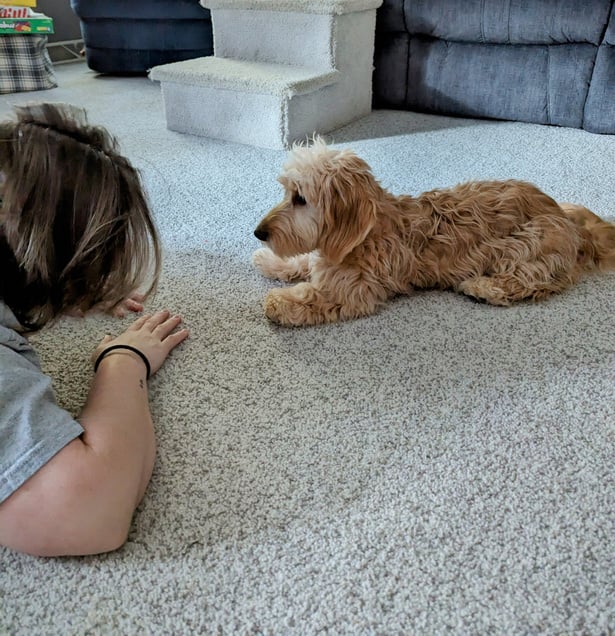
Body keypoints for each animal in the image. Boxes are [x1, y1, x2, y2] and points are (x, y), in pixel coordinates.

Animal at [251, 140, 615, 328]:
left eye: (300, 198)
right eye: (286, 192)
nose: (259, 233)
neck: (365, 235)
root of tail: (569, 222)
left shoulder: (355, 290)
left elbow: (315, 296)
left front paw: (279, 301)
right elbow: (305, 260)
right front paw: (272, 261)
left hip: (524, 245)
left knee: (536, 283)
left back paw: (482, 287)